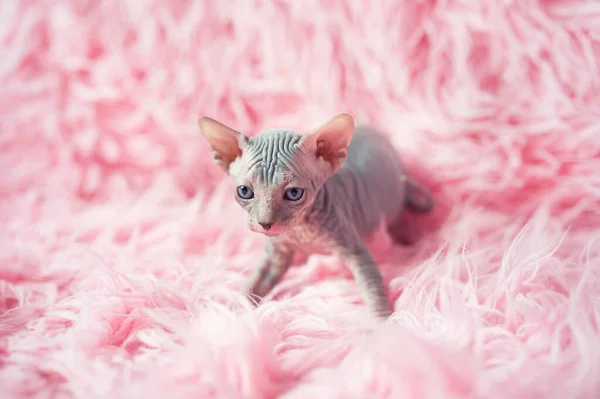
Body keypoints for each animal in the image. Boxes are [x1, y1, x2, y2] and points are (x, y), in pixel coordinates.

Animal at [199, 113, 434, 318]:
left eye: (294, 193)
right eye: (244, 191)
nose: (265, 224)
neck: (300, 230)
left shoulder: (355, 251)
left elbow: (371, 287)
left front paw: (383, 325)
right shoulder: (277, 254)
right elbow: (254, 284)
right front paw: (233, 314)